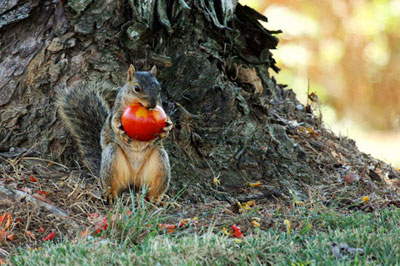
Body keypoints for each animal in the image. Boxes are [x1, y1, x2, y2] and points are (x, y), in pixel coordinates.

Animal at [57, 64, 173, 202]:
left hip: (160, 161)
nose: (153, 104)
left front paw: (167, 127)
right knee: (112, 185)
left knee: (154, 189)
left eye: (159, 89)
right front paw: (120, 130)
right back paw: (110, 195)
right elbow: (114, 121)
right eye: (136, 88)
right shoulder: (117, 109)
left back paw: (157, 200)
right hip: (111, 158)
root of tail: (133, 181)